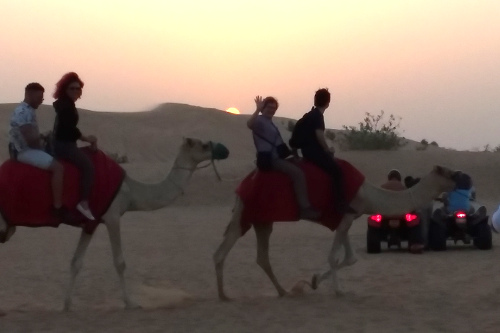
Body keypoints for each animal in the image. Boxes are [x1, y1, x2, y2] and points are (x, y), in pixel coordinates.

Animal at [0, 137, 229, 308]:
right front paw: (130, 303)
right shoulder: (112, 216)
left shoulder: (91, 223)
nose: (225, 150)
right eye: (204, 145)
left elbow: (76, 262)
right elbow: (119, 262)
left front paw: (66, 305)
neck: (130, 191)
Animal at [213, 164, 458, 298]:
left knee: (261, 257)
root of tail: (244, 183)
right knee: (223, 250)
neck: (369, 194)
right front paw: (338, 291)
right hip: (245, 213)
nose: (462, 178)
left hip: (262, 220)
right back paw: (224, 295)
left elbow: (350, 258)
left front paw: (313, 281)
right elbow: (334, 256)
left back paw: (284, 292)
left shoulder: (347, 218)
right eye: (451, 174)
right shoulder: (347, 215)